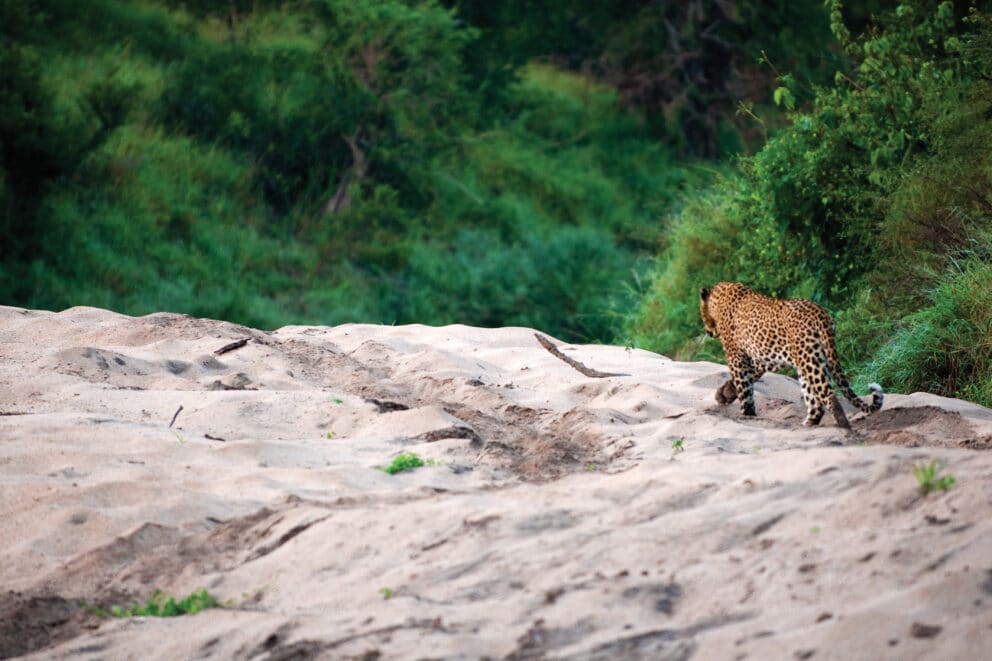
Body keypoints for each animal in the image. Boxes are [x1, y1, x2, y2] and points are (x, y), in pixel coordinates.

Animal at [699, 282, 883, 428]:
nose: (707, 332)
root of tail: (820, 313)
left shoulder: (736, 356)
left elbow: (744, 388)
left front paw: (746, 414)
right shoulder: (760, 359)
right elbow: (746, 381)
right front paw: (724, 393)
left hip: (808, 360)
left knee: (828, 394)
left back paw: (843, 425)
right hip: (811, 359)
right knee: (814, 400)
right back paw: (809, 423)